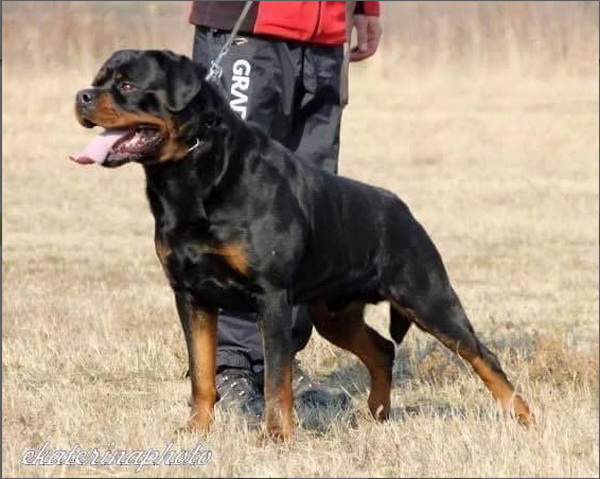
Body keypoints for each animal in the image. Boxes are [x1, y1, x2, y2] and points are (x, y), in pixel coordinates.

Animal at [72, 49, 532, 442]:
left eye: (127, 85)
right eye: (97, 80)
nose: (82, 96)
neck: (192, 175)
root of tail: (401, 209)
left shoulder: (271, 296)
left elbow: (278, 378)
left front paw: (277, 436)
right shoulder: (190, 295)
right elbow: (201, 372)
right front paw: (196, 430)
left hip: (429, 298)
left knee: (482, 356)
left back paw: (522, 415)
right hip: (334, 313)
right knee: (382, 350)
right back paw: (378, 412)